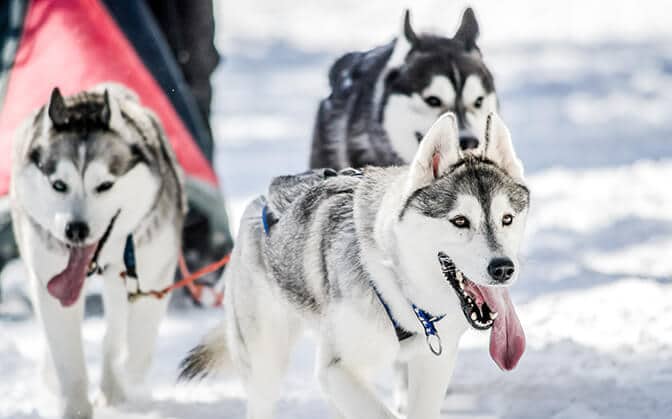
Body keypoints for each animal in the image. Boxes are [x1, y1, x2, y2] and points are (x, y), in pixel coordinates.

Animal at [10, 85, 188, 419]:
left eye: (105, 185)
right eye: (59, 184)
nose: (76, 229)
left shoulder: (153, 275)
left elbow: (134, 345)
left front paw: (127, 388)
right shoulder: (51, 281)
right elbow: (68, 356)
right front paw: (76, 408)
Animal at [181, 111, 528, 419]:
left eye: (507, 219)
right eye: (459, 221)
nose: (503, 269)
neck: (398, 285)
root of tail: (262, 203)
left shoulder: (431, 365)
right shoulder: (337, 370)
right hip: (267, 362)